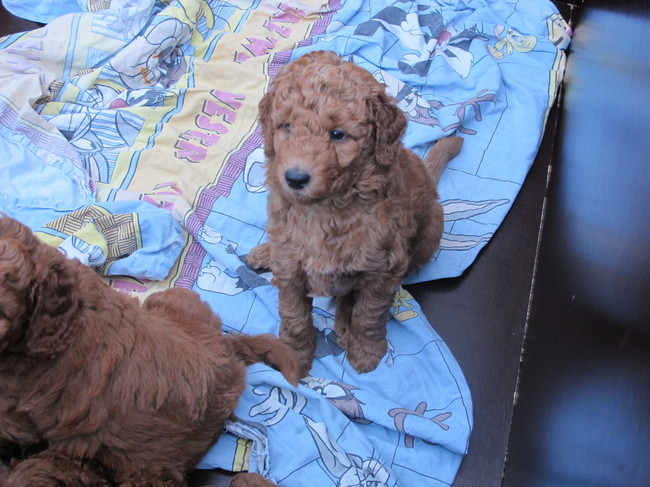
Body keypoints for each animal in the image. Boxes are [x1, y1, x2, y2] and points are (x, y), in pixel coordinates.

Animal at [247, 51, 463, 376]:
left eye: (338, 135)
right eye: (286, 126)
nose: (295, 178)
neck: (327, 208)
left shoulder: (382, 270)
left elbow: (368, 315)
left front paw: (366, 351)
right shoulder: (289, 266)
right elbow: (294, 316)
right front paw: (294, 356)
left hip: (431, 231)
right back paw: (263, 253)